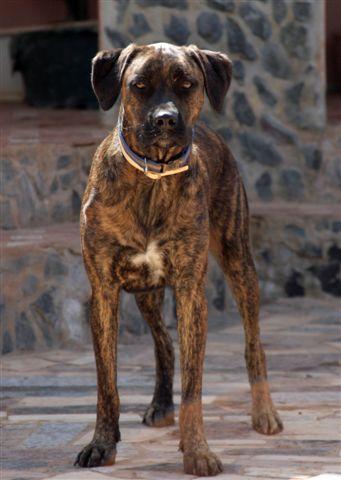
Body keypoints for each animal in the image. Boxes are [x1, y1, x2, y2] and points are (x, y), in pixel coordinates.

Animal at [75, 42, 282, 476]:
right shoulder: (103, 292)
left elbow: (194, 388)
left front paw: (198, 450)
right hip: (146, 292)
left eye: (187, 84)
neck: (153, 176)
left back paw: (264, 412)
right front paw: (102, 444)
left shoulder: (191, 293)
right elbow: (107, 384)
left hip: (240, 263)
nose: (166, 119)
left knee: (253, 343)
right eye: (138, 85)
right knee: (164, 343)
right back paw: (160, 404)